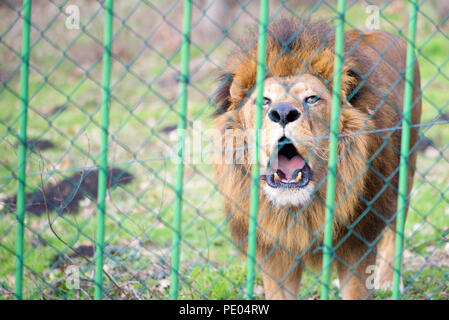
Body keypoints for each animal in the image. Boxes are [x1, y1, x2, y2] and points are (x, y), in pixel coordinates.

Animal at [213, 19, 420, 300]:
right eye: (265, 101)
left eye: (311, 99)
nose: (283, 113)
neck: (300, 209)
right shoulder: (274, 253)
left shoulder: (358, 242)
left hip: (404, 174)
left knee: (394, 231)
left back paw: (388, 281)